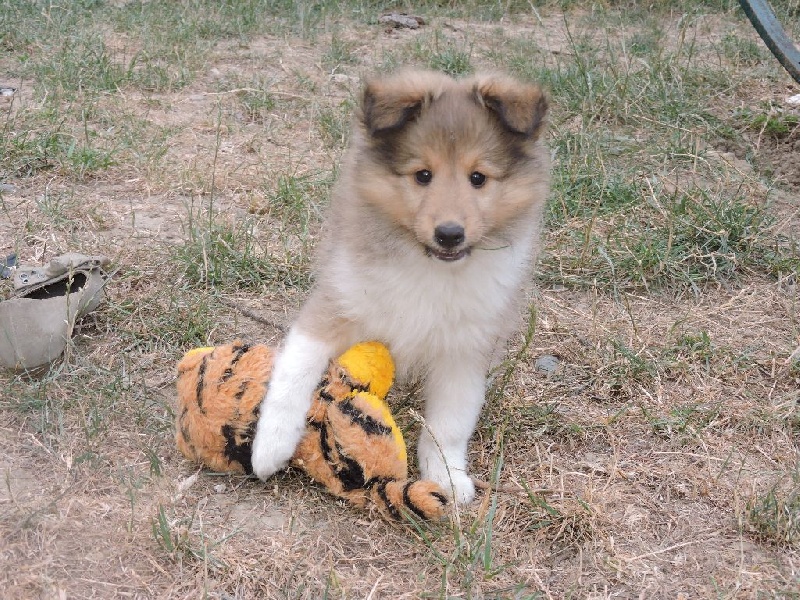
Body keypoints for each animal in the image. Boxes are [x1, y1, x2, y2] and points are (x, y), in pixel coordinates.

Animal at [252, 69, 552, 502]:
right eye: (422, 175)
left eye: (478, 178)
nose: (449, 234)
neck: (427, 267)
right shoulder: (335, 301)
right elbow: (293, 372)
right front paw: (269, 446)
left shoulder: (465, 349)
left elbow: (450, 421)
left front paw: (447, 476)